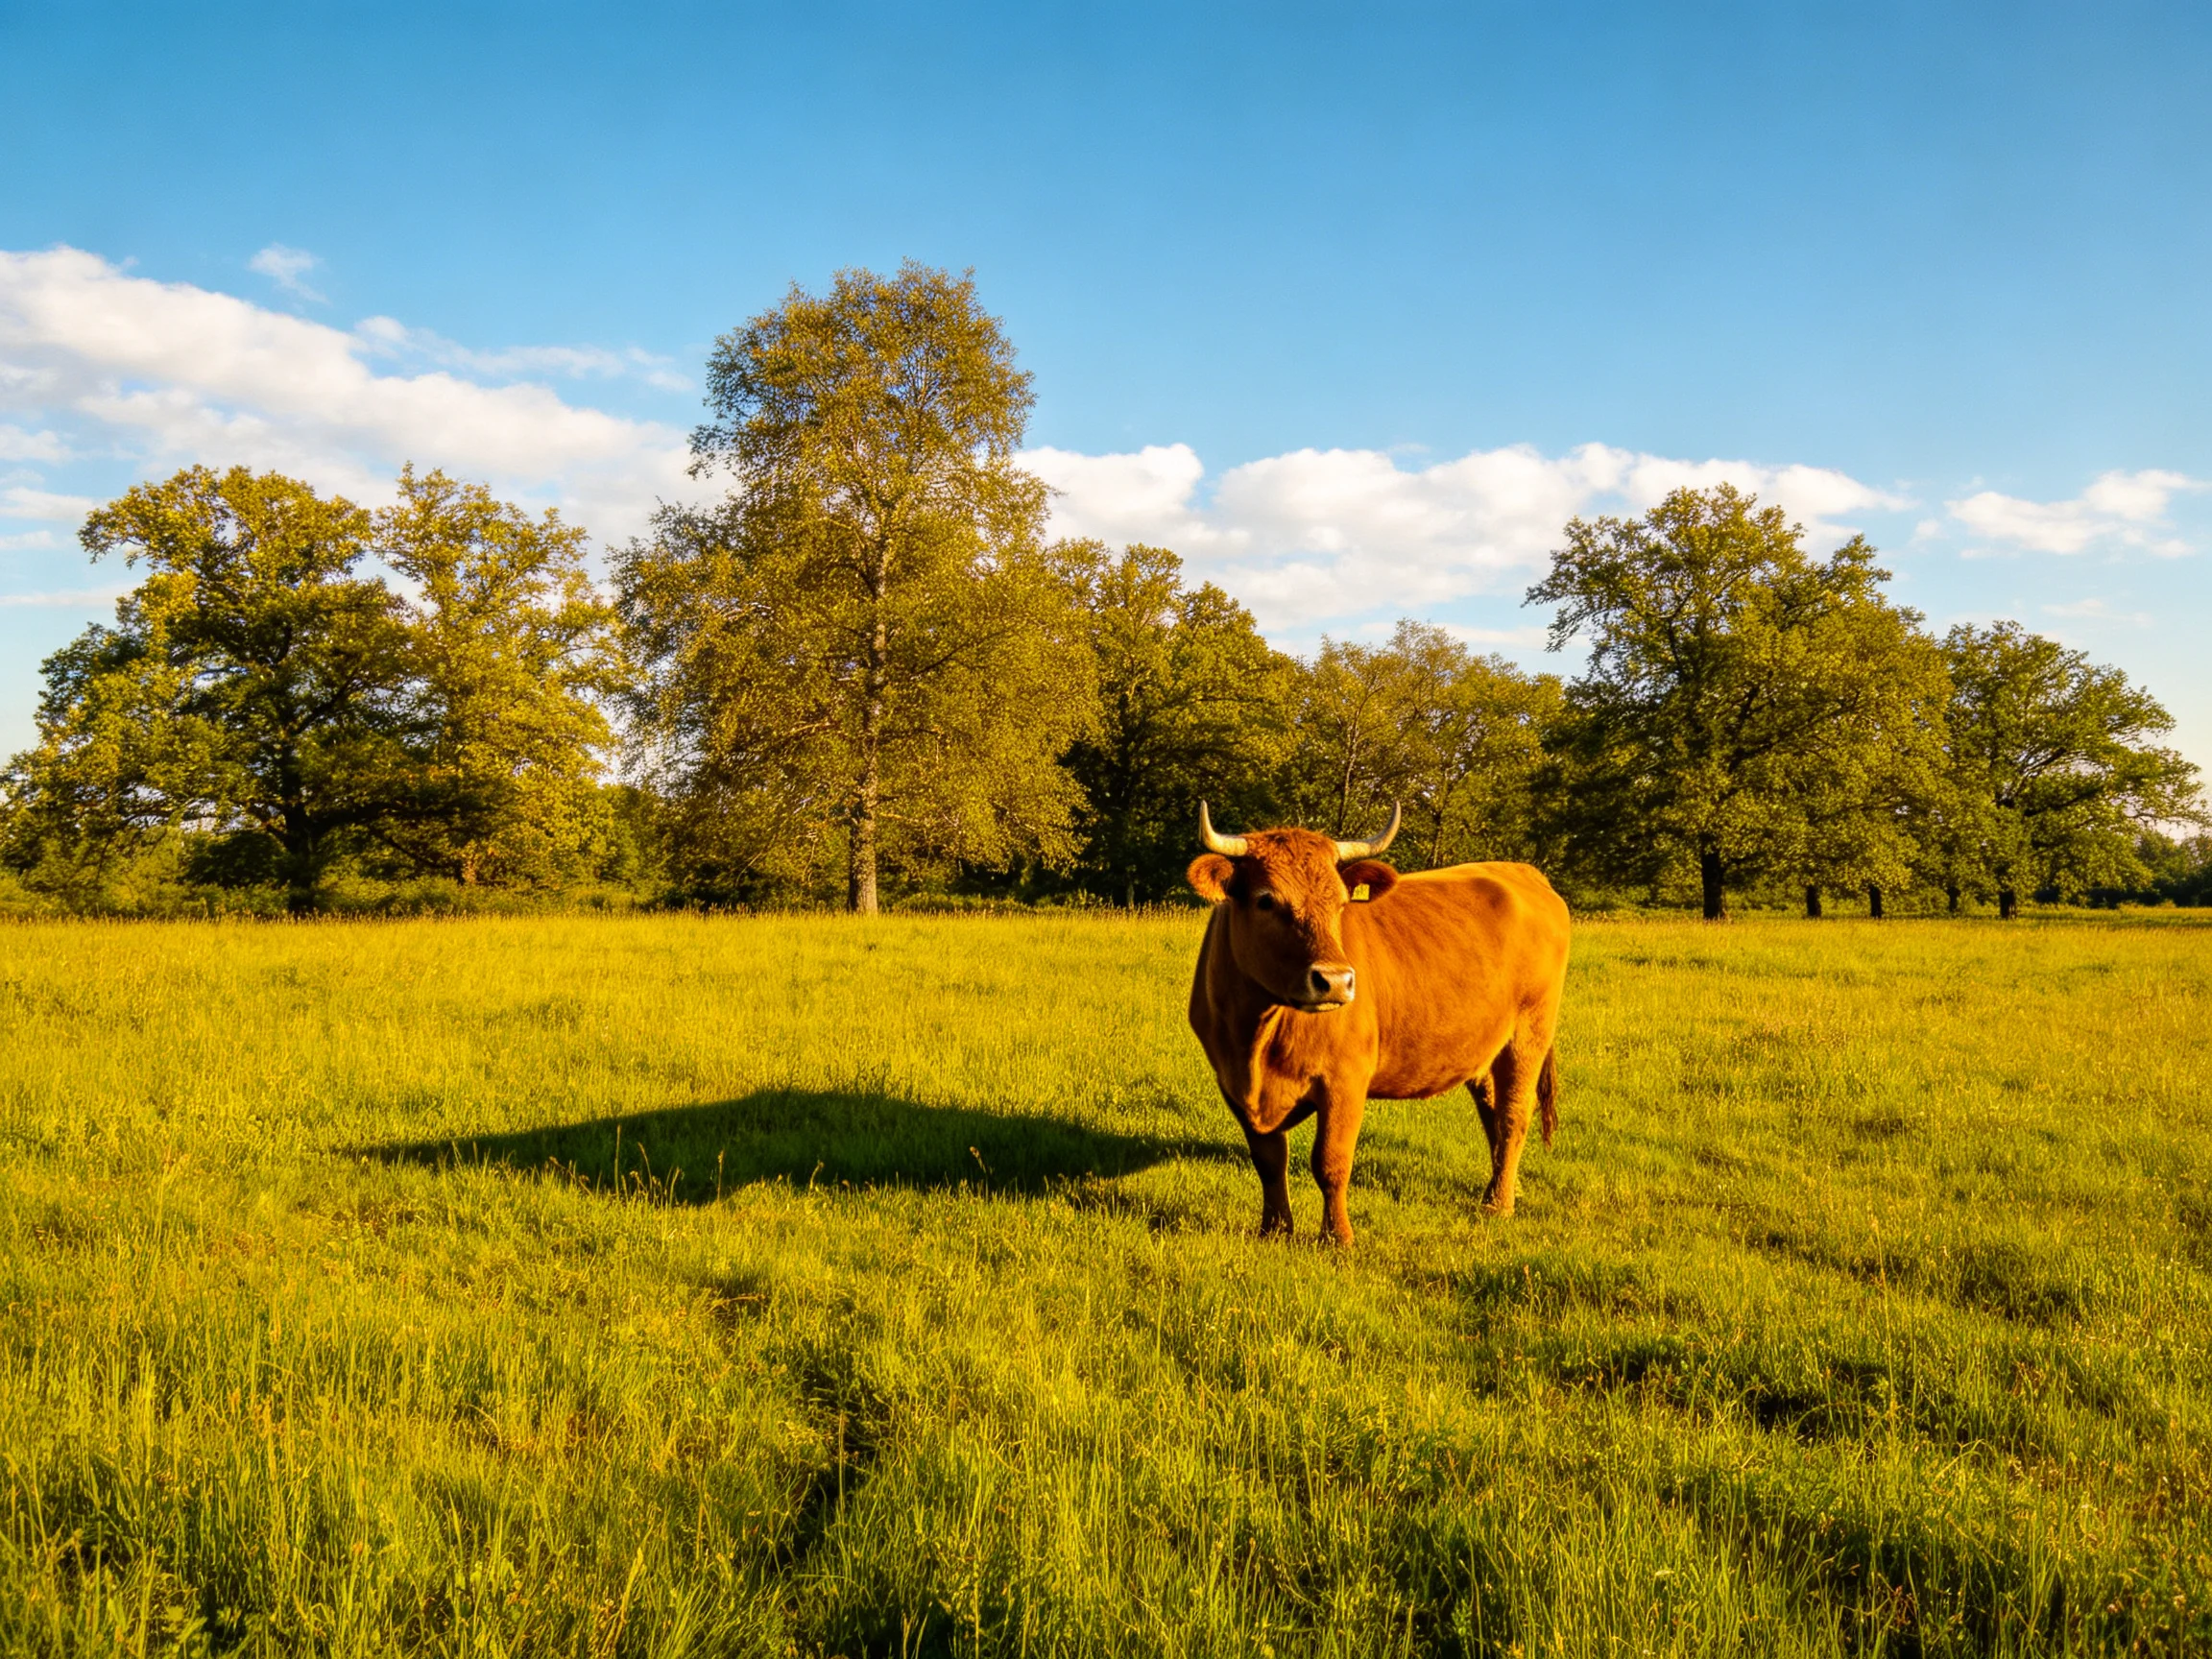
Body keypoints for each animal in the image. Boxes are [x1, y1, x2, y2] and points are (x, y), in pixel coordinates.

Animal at [1185, 802, 1571, 1244]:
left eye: (1340, 903)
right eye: (1266, 901)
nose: (1335, 980)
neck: (1256, 1036)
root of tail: (1520, 871)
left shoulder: (1346, 1080)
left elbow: (1330, 1162)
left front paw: (1338, 1237)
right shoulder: (1232, 1083)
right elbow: (1268, 1161)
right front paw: (1276, 1230)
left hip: (1529, 1033)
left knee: (1513, 1114)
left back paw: (1499, 1204)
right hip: (1484, 1046)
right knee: (1493, 1111)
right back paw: (1504, 1188)